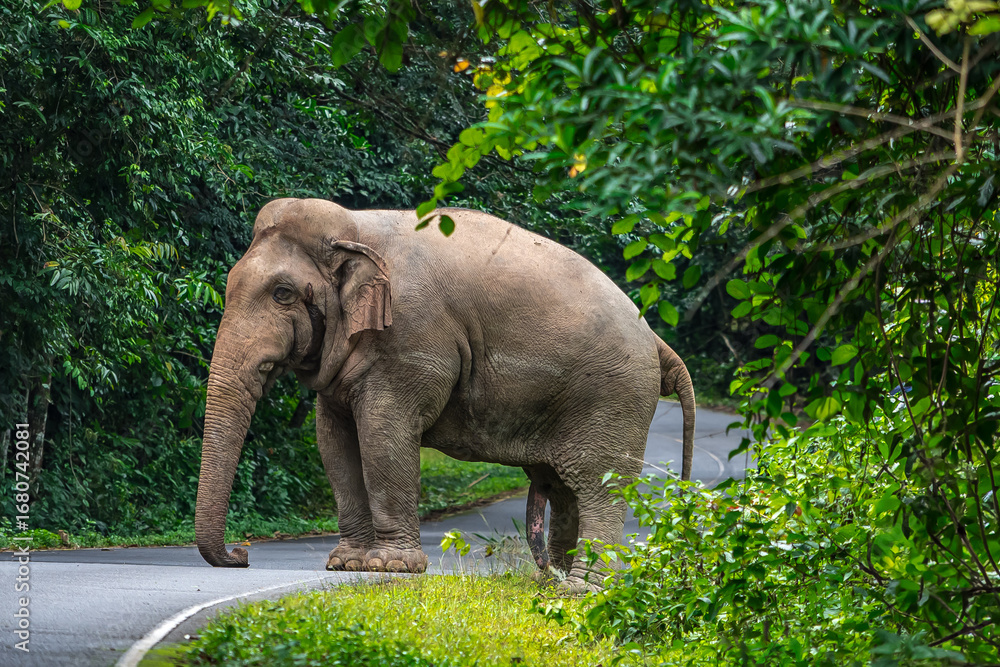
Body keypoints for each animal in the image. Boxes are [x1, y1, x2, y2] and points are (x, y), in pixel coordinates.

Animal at [195, 198, 695, 592]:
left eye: (282, 293)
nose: (241, 554)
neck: (355, 227)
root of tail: (655, 338)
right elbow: (333, 442)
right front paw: (346, 562)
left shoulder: (411, 338)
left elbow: (383, 434)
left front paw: (390, 566)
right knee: (565, 487)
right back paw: (554, 582)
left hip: (614, 397)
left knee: (599, 486)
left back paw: (582, 591)